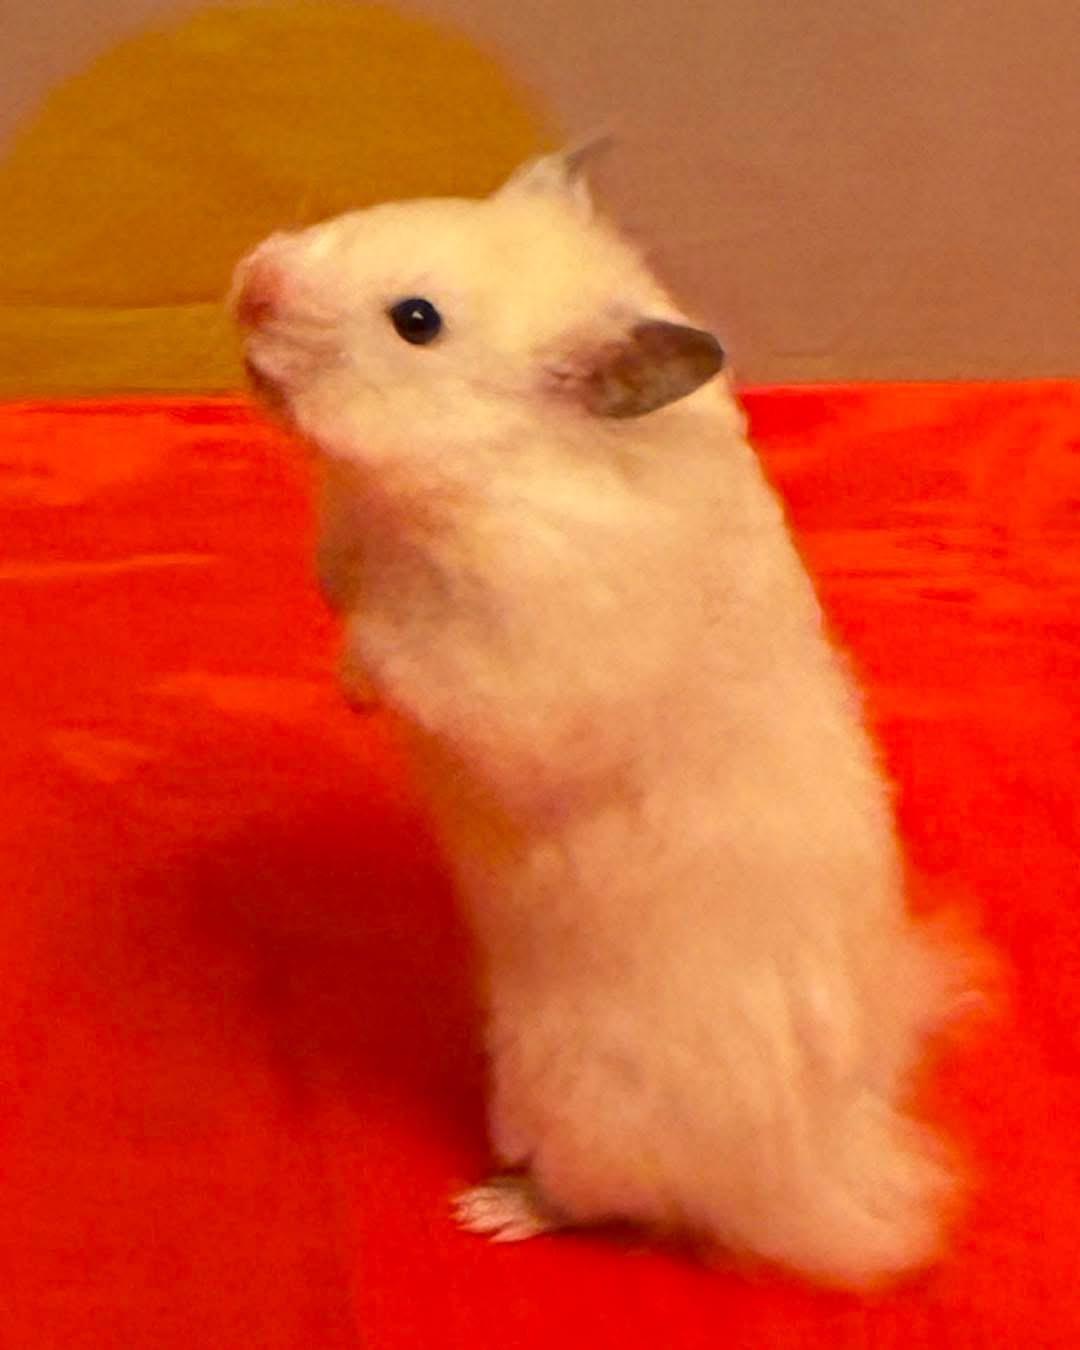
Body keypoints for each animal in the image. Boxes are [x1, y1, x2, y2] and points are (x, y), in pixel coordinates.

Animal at [231, 146, 973, 1290]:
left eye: (416, 321)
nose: (252, 283)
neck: (476, 476)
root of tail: (813, 1168)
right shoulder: (357, 525)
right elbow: (341, 575)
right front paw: (337, 621)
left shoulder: (518, 665)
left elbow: (408, 653)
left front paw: (352, 681)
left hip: (579, 1100)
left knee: (610, 1201)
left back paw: (494, 1207)